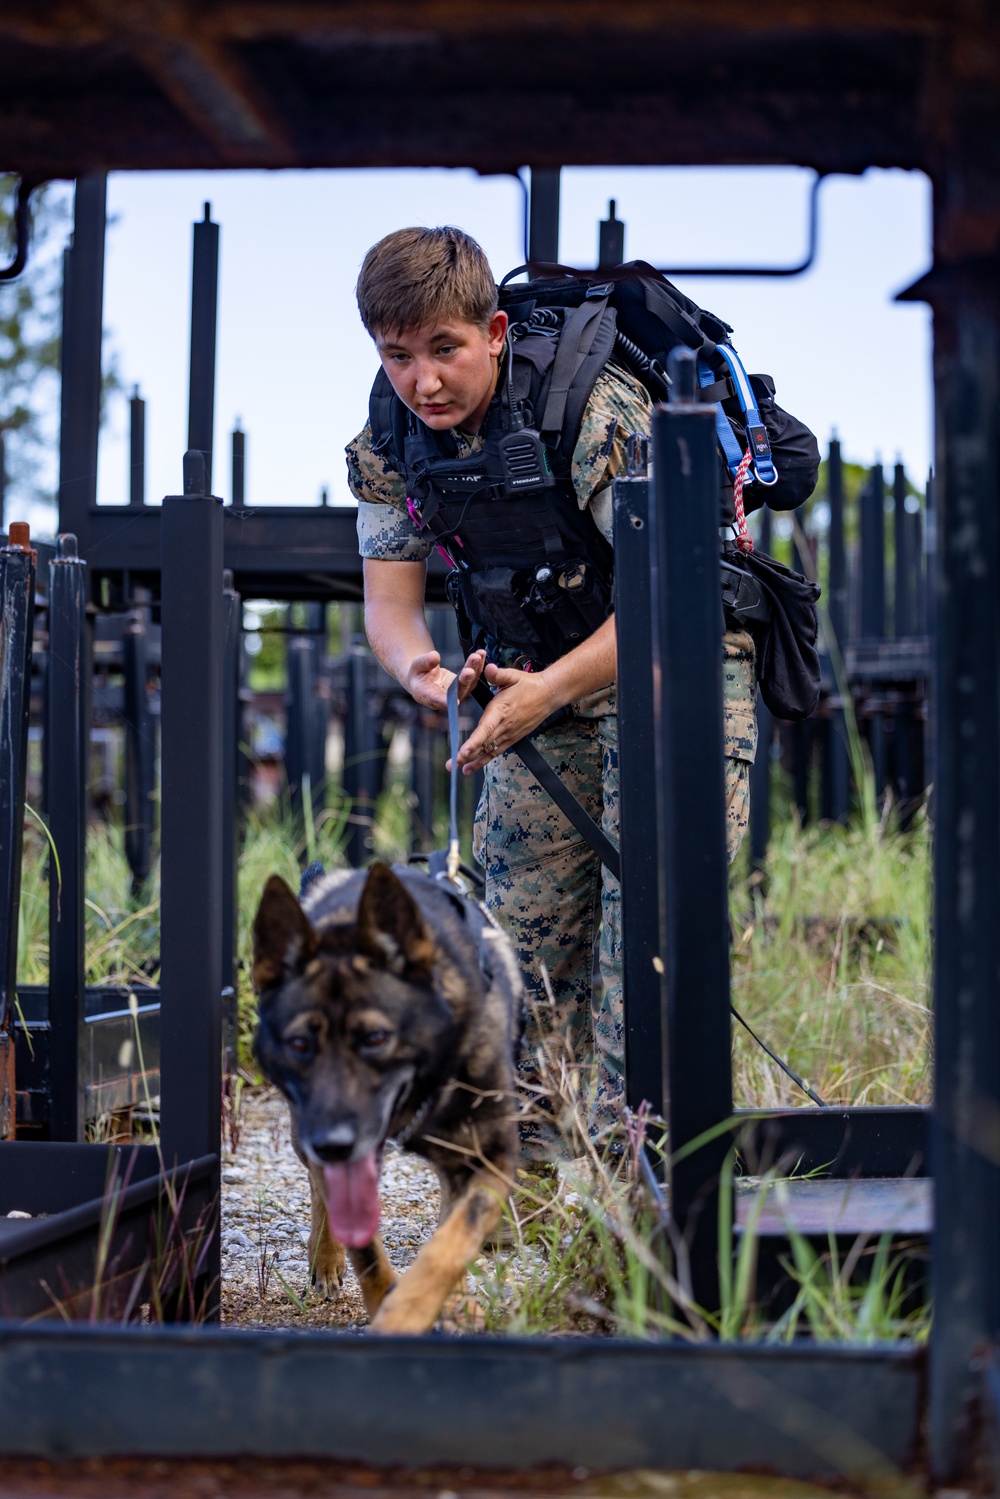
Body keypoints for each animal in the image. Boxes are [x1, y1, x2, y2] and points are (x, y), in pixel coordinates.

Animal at [251, 863, 524, 1331]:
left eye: (376, 1038)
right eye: (299, 1044)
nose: (332, 1144)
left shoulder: (486, 1160)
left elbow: (450, 1243)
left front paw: (424, 1306)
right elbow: (368, 1253)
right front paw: (389, 1306)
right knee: (321, 1190)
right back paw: (325, 1258)